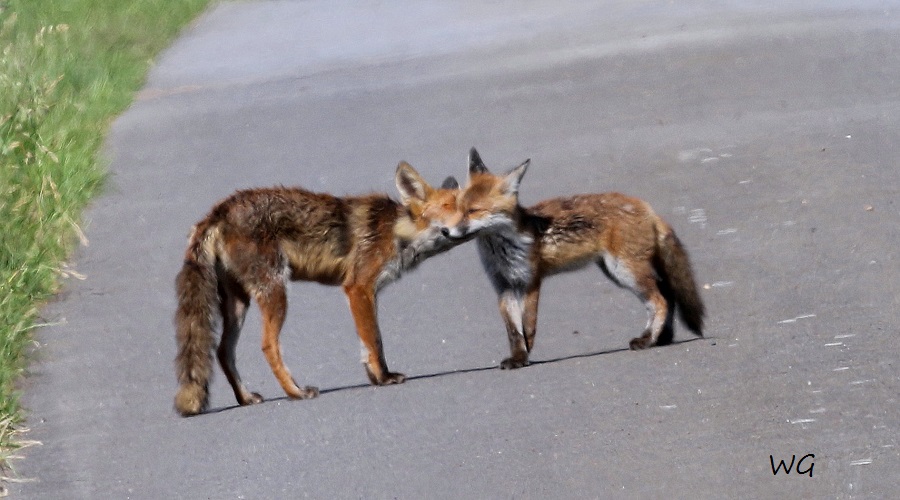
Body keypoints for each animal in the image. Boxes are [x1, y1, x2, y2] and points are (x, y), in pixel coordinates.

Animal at [174, 162, 465, 416]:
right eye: (449, 207)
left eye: (469, 208)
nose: (466, 225)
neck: (396, 231)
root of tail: (219, 210)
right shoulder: (358, 287)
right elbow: (375, 340)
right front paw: (384, 377)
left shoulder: (365, 294)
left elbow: (365, 344)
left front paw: (374, 377)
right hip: (275, 291)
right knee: (268, 346)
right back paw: (295, 392)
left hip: (238, 302)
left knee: (223, 351)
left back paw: (245, 398)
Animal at [444, 148, 705, 369]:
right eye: (457, 208)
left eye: (473, 211)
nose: (445, 231)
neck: (502, 250)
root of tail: (647, 207)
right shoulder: (503, 286)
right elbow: (513, 331)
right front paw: (517, 357)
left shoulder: (531, 281)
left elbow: (528, 325)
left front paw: (526, 356)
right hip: (616, 272)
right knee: (666, 293)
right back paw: (661, 337)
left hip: (625, 270)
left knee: (660, 301)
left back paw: (648, 339)